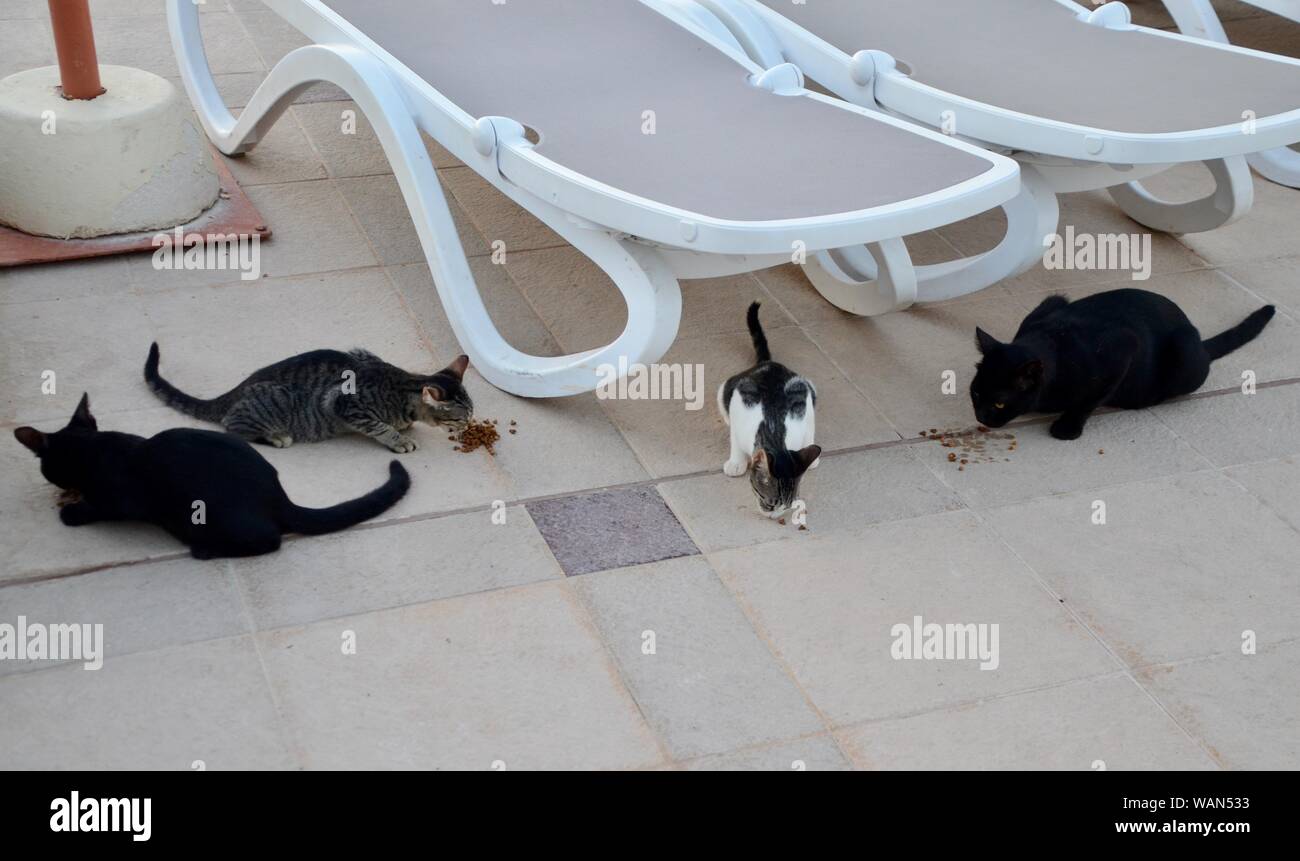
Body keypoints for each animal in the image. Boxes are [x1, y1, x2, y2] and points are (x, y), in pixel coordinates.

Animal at [12, 395, 408, 559]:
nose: (54, 486)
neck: (95, 448)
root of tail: (279, 497)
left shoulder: (117, 499)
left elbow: (96, 507)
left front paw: (72, 510)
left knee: (270, 541)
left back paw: (205, 551)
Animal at [144, 343, 470, 455]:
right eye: (461, 417)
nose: (469, 425)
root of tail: (238, 388)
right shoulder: (344, 402)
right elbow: (380, 426)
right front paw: (398, 438)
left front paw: (404, 427)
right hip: (273, 402)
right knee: (232, 425)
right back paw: (277, 438)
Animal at [717, 303, 816, 520]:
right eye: (770, 503)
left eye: (787, 506)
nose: (774, 517)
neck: (774, 430)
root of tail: (767, 364)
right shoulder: (739, 409)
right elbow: (735, 441)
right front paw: (736, 463)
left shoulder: (805, 411)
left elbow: (809, 430)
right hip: (726, 388)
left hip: (807, 387)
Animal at [972, 290, 1274, 442]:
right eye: (975, 393)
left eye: (999, 403)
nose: (981, 417)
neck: (1051, 342)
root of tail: (1197, 337)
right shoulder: (1048, 305)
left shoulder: (1124, 348)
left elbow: (1089, 400)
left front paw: (1067, 428)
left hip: (1184, 348)